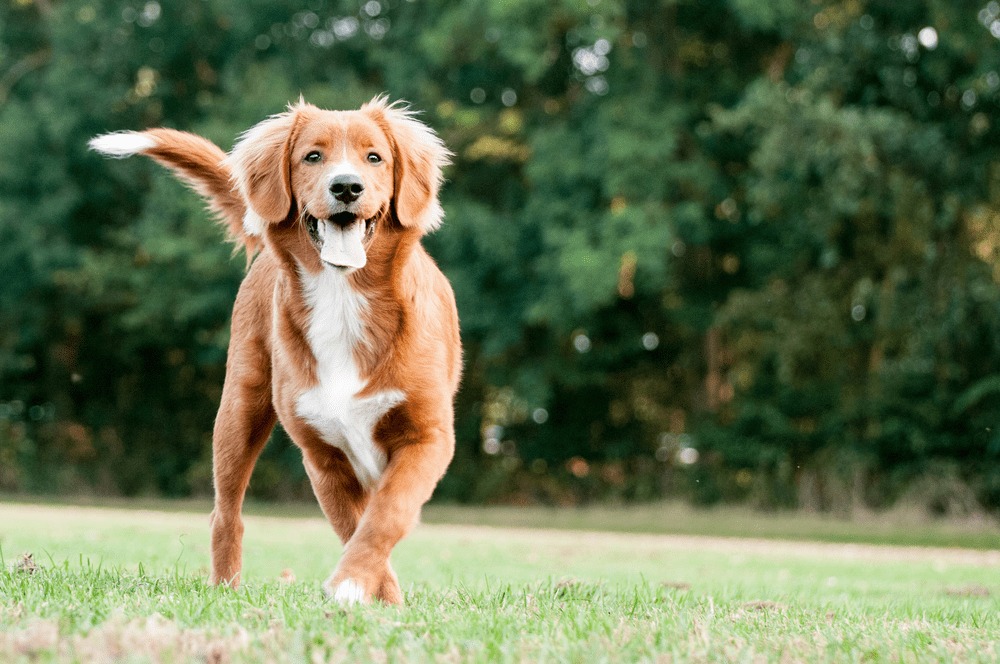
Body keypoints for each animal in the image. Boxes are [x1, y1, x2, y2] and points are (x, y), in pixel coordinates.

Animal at [90, 96, 460, 604]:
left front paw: (355, 587)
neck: (343, 298)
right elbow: (356, 525)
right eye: (312, 156)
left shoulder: (427, 436)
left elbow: (386, 515)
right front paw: (371, 594)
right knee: (225, 512)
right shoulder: (323, 456)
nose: (347, 187)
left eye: (374, 157)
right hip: (238, 410)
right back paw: (225, 587)